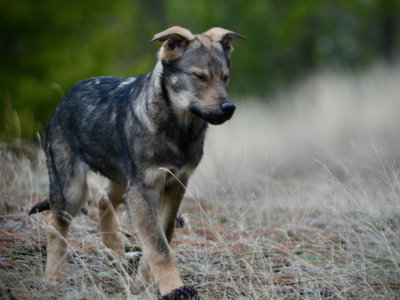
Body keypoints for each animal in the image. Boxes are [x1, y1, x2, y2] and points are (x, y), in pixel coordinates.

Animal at [28, 27, 244, 298]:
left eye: (225, 77)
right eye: (199, 77)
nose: (229, 108)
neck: (180, 131)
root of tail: (67, 93)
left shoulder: (175, 185)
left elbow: (163, 237)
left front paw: (144, 282)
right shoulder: (144, 190)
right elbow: (159, 247)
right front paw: (173, 287)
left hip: (121, 182)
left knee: (103, 200)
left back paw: (115, 252)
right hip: (73, 189)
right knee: (55, 225)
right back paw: (55, 276)